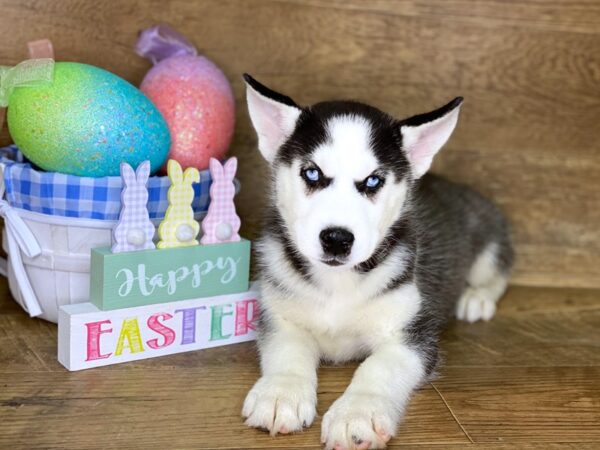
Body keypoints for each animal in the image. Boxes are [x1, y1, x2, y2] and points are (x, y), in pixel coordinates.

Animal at [241, 74, 512, 450]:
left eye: (373, 180)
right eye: (312, 174)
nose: (337, 238)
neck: (337, 284)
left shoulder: (410, 337)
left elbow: (377, 368)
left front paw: (357, 414)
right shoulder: (280, 317)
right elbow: (287, 351)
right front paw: (281, 393)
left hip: (486, 241)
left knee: (497, 270)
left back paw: (477, 297)